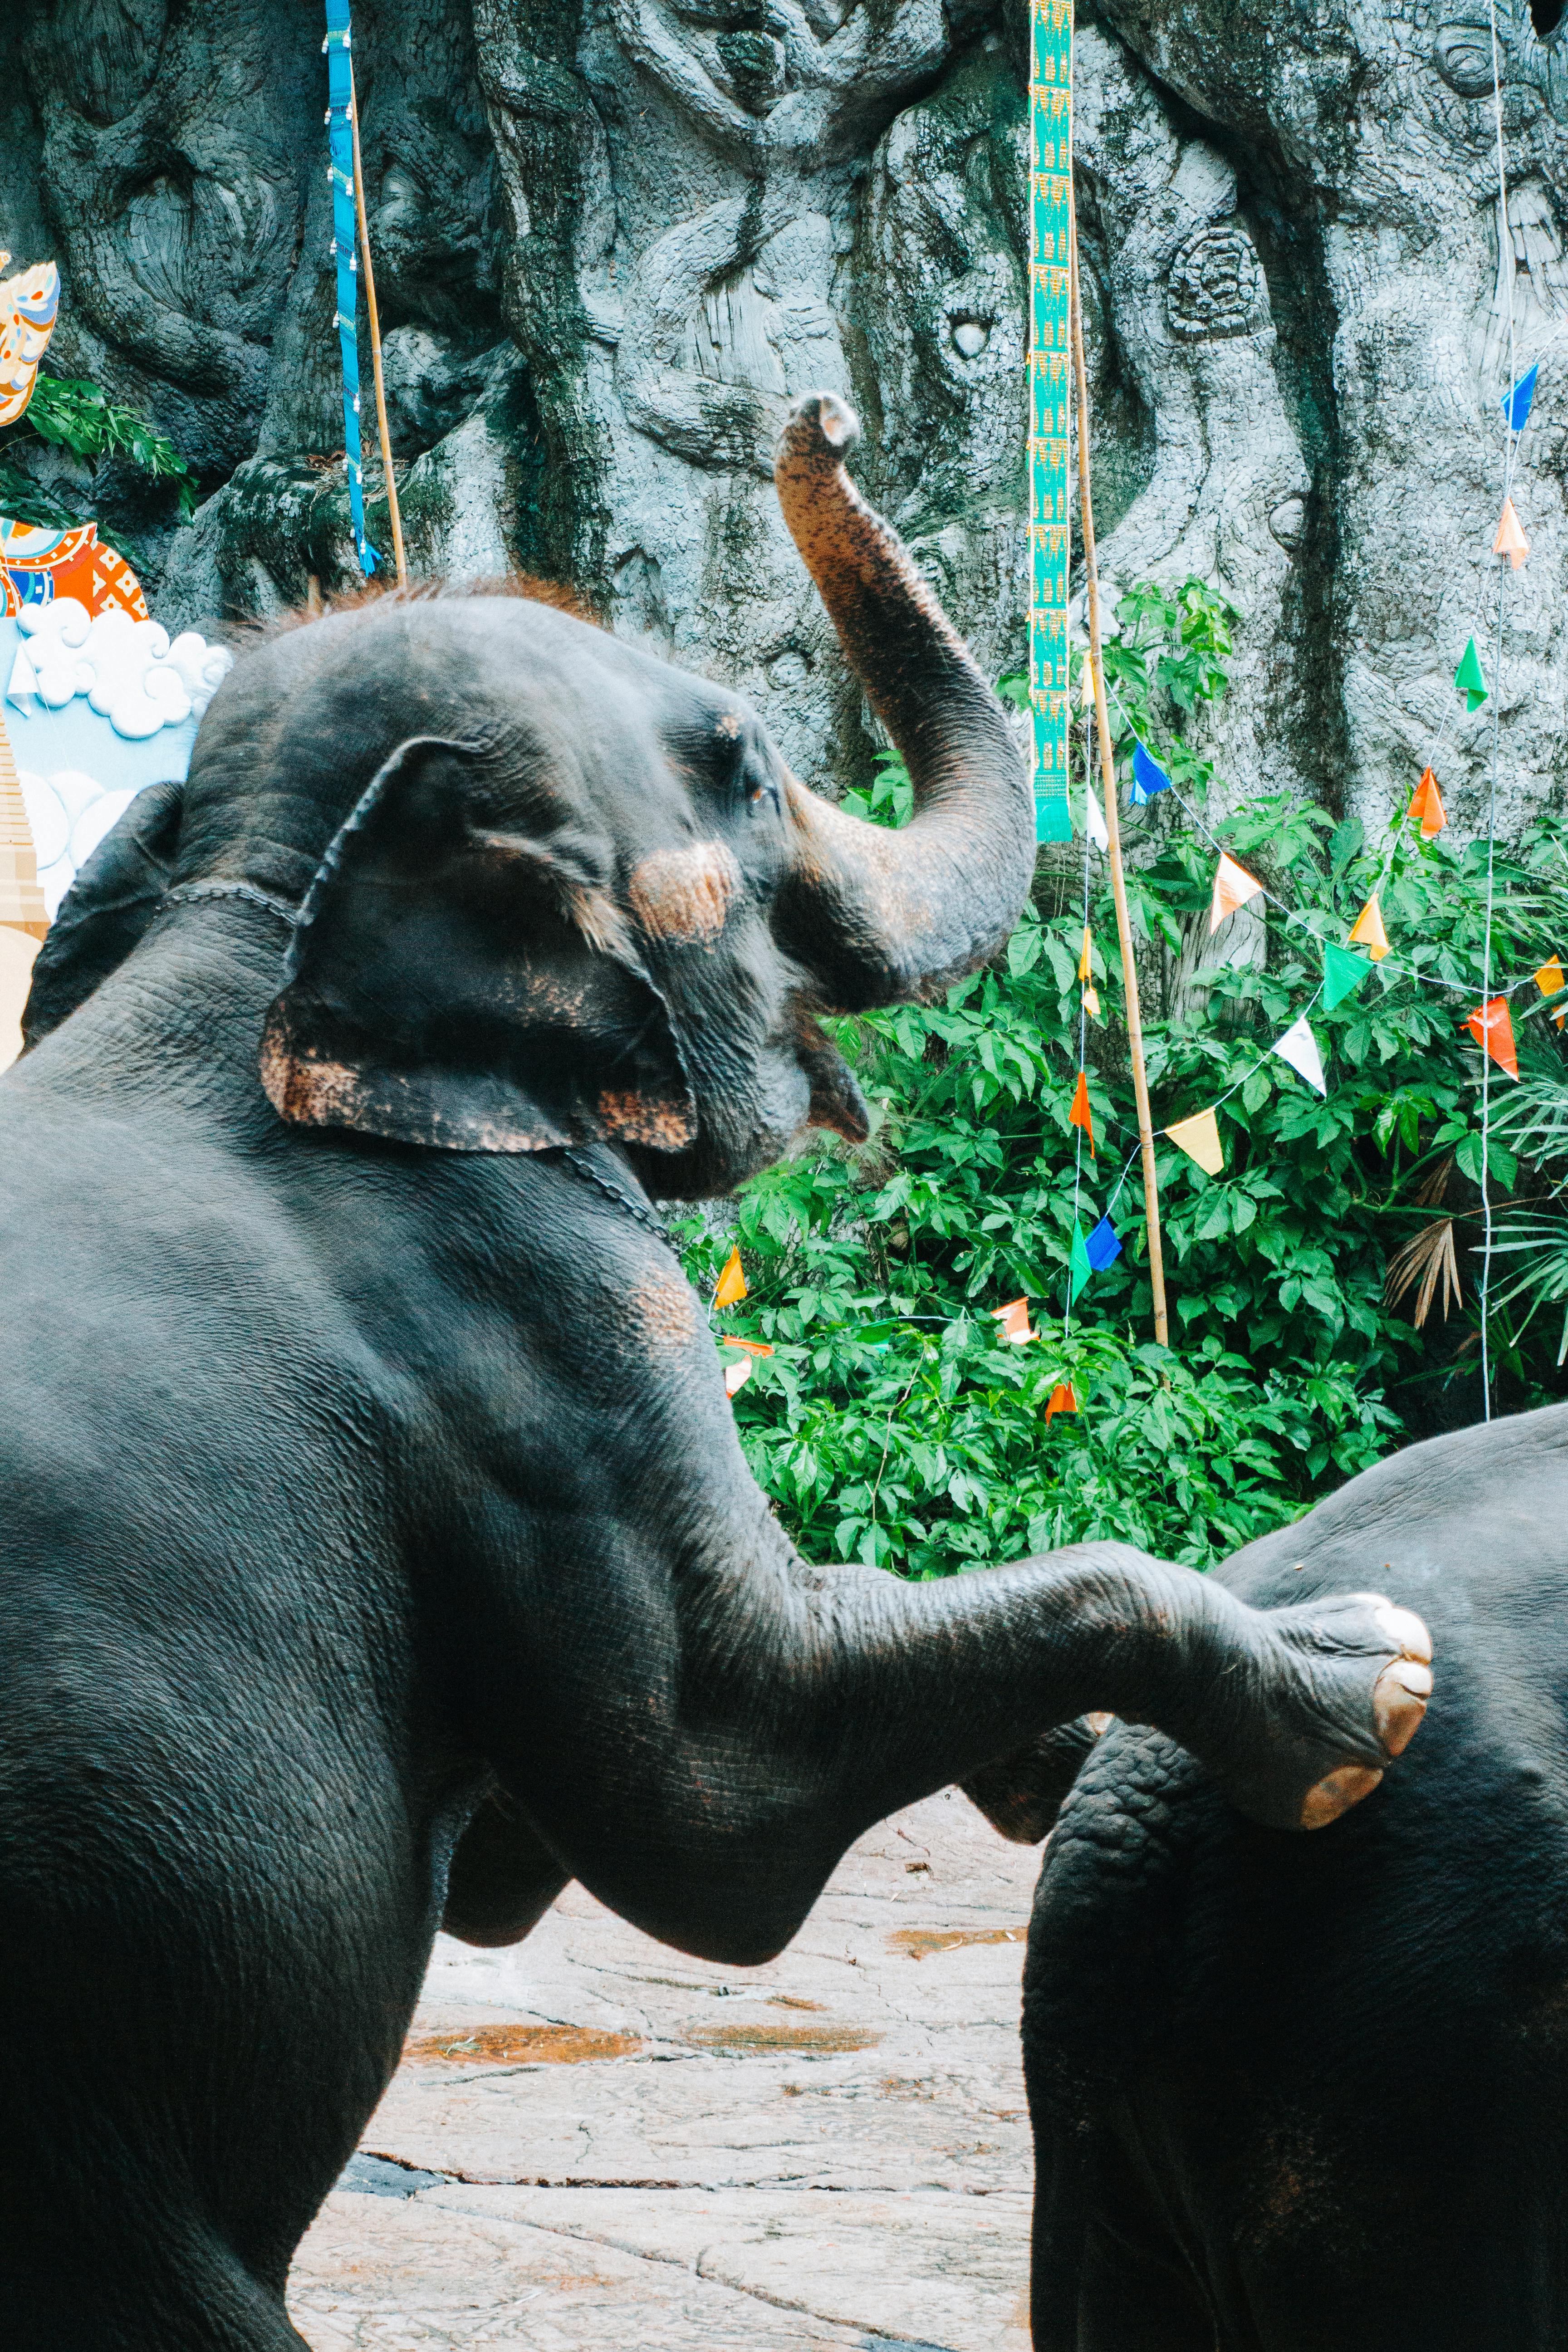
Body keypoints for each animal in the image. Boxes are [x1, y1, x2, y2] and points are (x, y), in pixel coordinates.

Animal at [0, 395, 1439, 2342]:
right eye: (747, 766)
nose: (818, 418)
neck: (248, 929)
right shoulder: (540, 1313)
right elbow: (720, 1801)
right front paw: (1362, 1678)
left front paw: (1062, 1760)